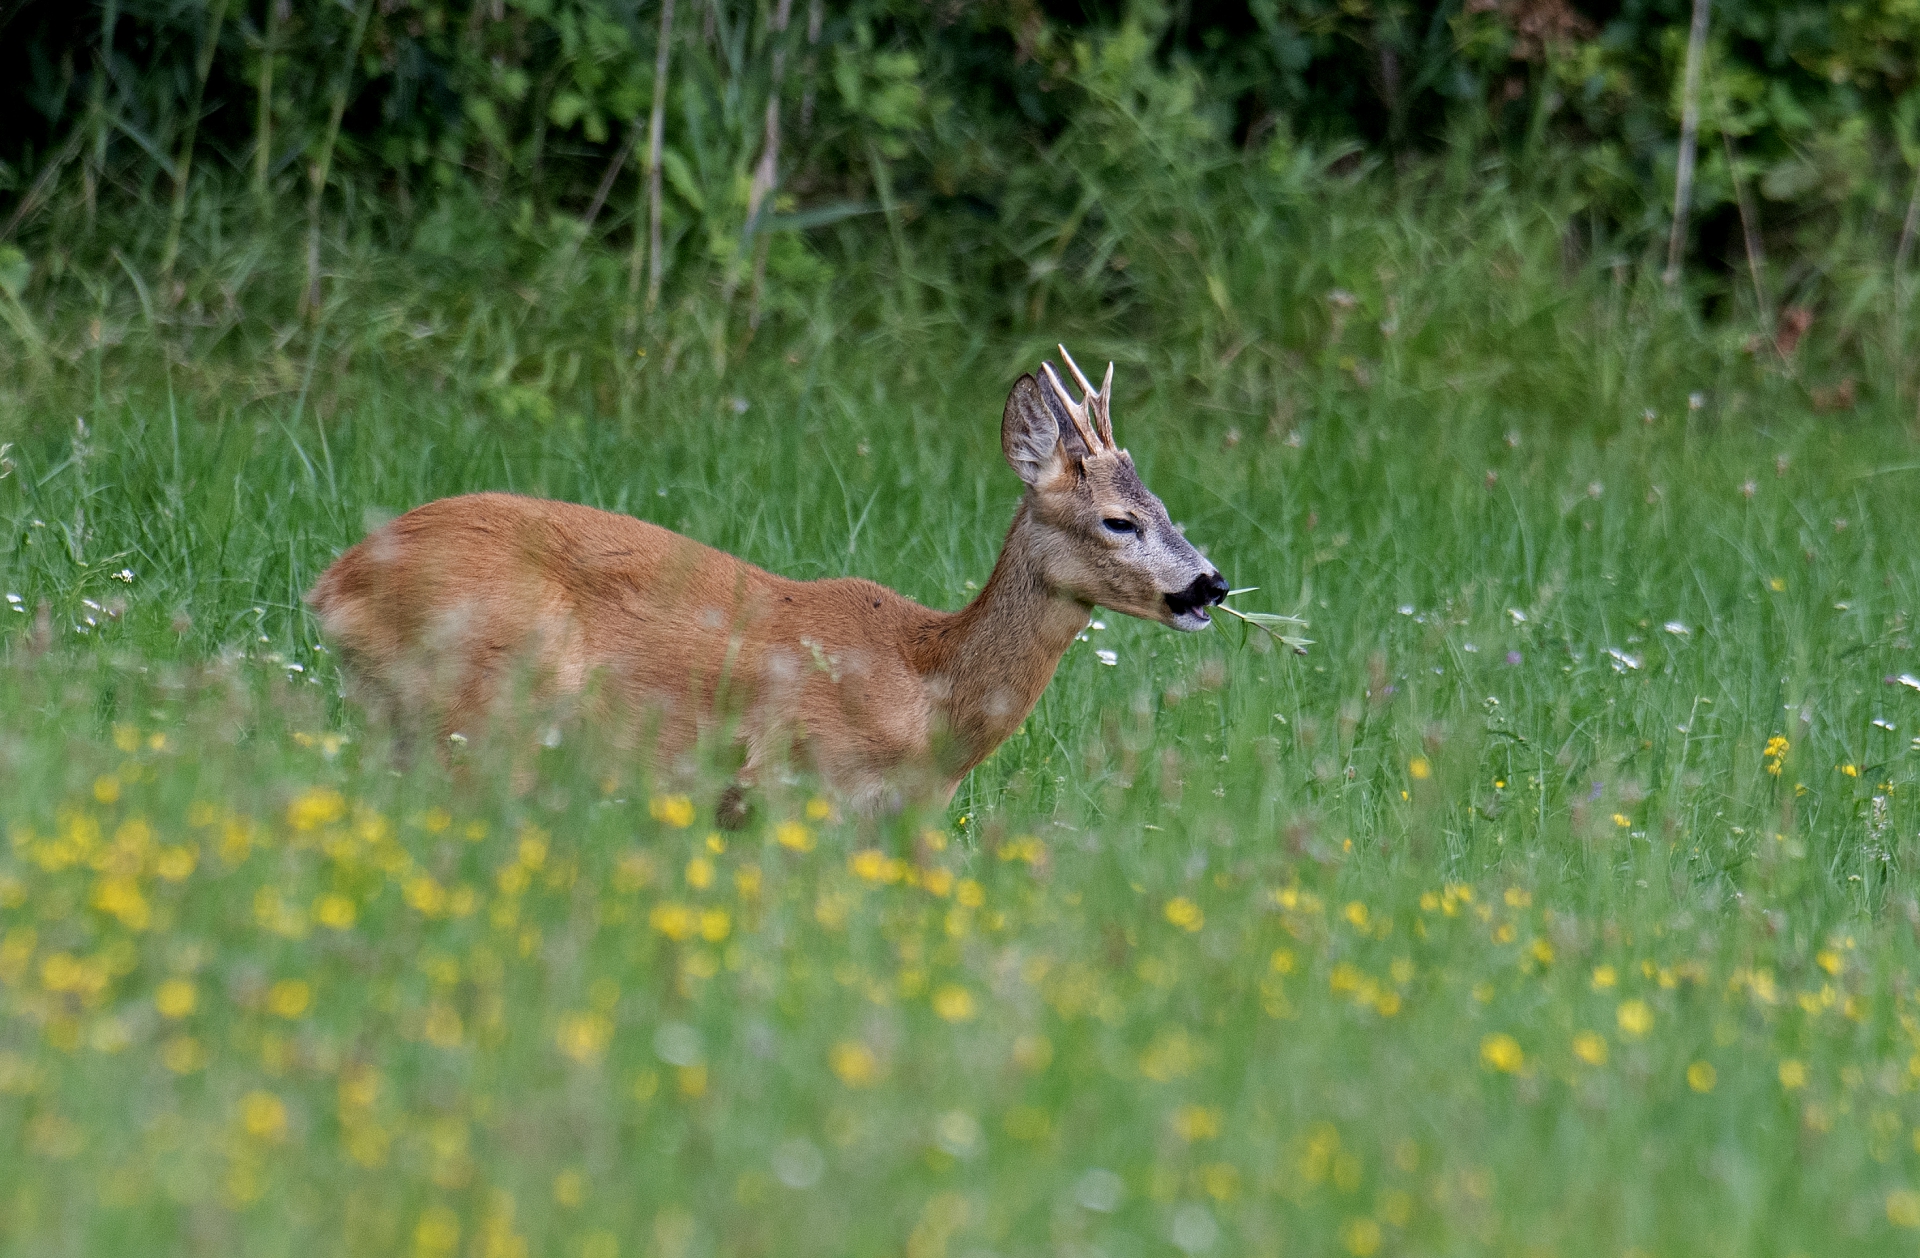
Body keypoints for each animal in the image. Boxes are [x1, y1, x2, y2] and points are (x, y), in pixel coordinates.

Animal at [301, 349, 1228, 818]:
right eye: (1119, 520)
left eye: (1167, 507)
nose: (1210, 586)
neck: (927, 688)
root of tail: (333, 584)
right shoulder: (791, 777)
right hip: (483, 710)